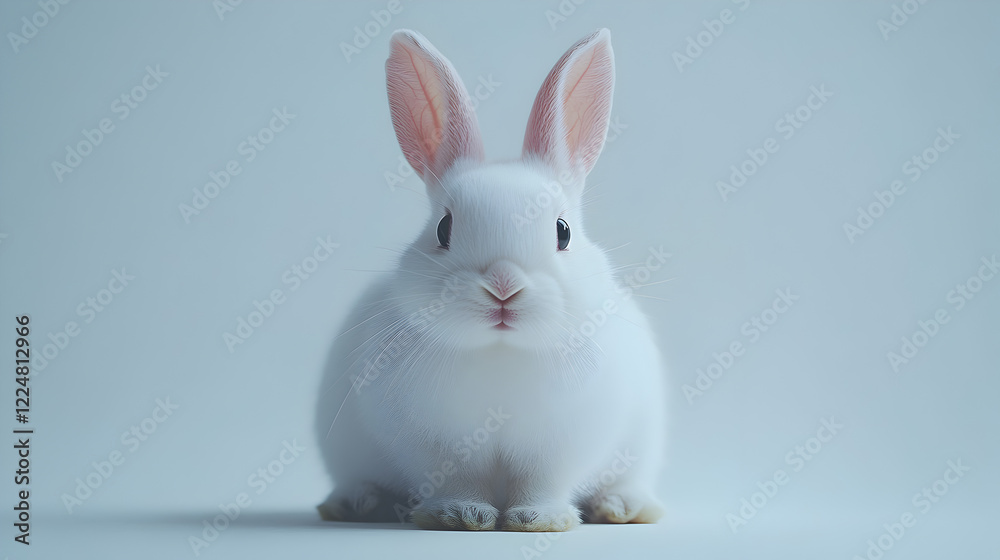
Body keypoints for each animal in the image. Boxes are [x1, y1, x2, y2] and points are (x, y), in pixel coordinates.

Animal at [315, 28, 667, 532]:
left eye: (563, 231)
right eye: (443, 230)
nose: (503, 287)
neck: (502, 352)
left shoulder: (560, 447)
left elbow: (542, 484)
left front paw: (538, 520)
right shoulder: (437, 446)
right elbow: (457, 480)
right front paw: (460, 515)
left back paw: (625, 508)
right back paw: (356, 503)